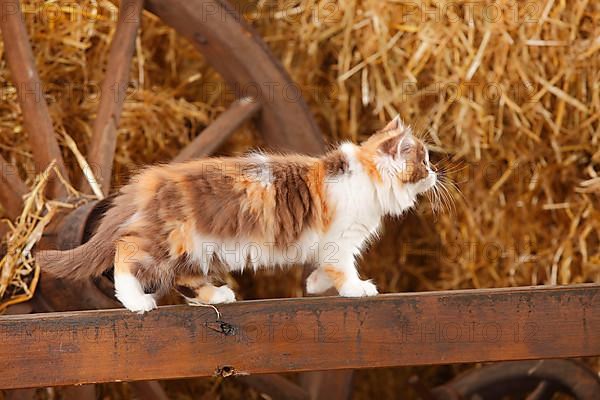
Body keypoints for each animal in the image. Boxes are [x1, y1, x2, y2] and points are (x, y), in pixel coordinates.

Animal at [36, 115, 436, 312]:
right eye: (425, 160)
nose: (435, 173)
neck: (367, 177)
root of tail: (151, 179)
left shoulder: (329, 243)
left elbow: (324, 266)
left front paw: (313, 284)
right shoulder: (341, 239)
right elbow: (343, 268)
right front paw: (356, 289)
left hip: (196, 250)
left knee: (186, 279)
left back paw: (217, 296)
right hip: (170, 239)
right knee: (126, 252)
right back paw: (136, 302)